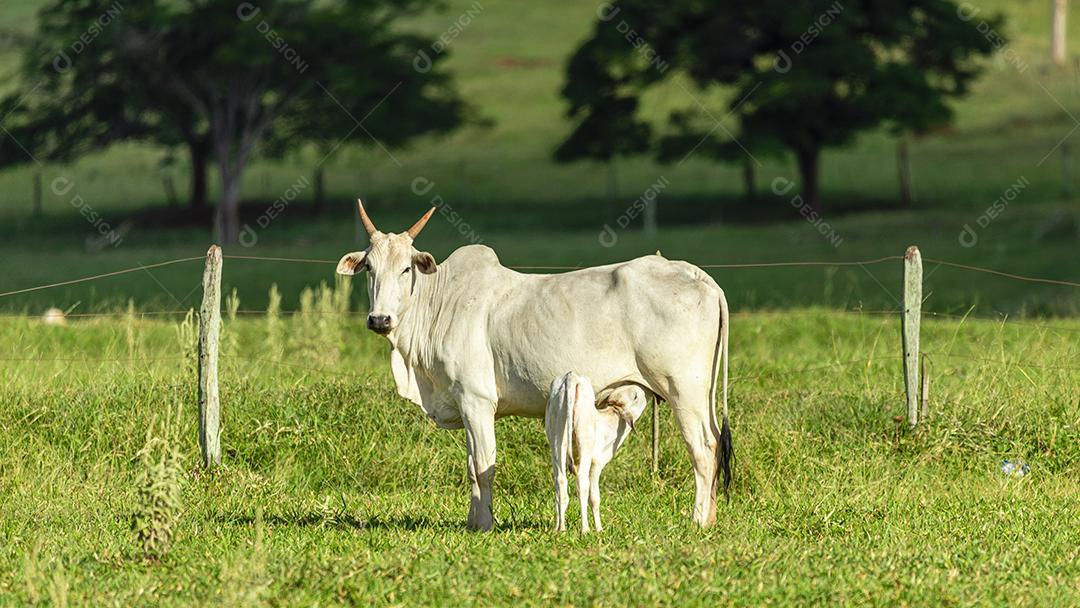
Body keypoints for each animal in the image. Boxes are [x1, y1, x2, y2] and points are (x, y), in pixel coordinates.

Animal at [544, 371, 643, 533]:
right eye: (635, 396)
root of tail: (571, 376)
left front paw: (557, 526)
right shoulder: (597, 463)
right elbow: (594, 497)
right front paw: (599, 528)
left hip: (557, 439)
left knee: (560, 482)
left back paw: (561, 528)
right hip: (584, 442)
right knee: (582, 482)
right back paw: (585, 528)